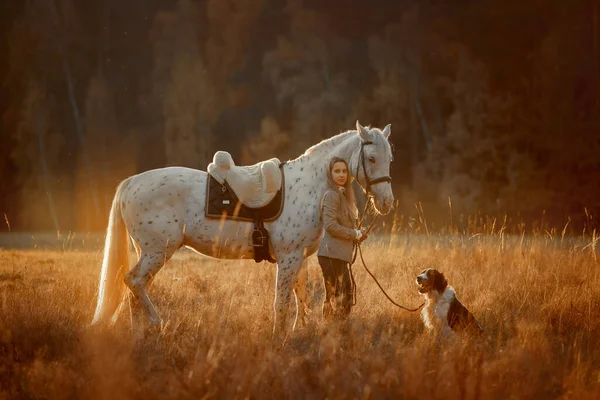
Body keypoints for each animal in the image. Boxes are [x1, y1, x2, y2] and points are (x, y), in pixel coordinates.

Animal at [91, 121, 396, 338]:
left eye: (389, 158)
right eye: (371, 158)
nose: (386, 203)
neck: (309, 187)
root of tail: (131, 182)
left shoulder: (299, 257)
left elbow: (302, 297)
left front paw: (299, 331)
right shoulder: (288, 257)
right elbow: (282, 301)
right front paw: (279, 336)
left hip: (149, 252)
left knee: (136, 290)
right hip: (157, 251)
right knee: (134, 282)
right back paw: (157, 324)